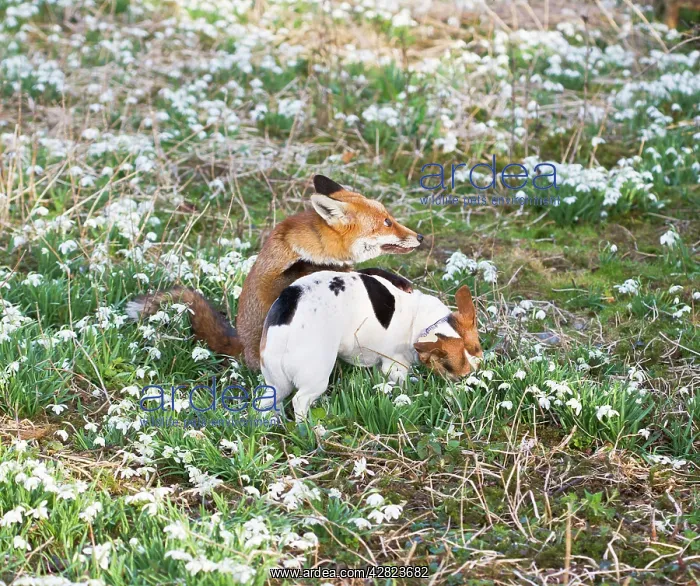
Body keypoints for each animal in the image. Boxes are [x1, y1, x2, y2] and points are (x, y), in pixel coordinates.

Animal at [126, 175, 424, 369]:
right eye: (387, 222)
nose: (420, 237)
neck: (322, 247)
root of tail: (243, 348)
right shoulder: (277, 282)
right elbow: (317, 270)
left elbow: (363, 270)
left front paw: (395, 279)